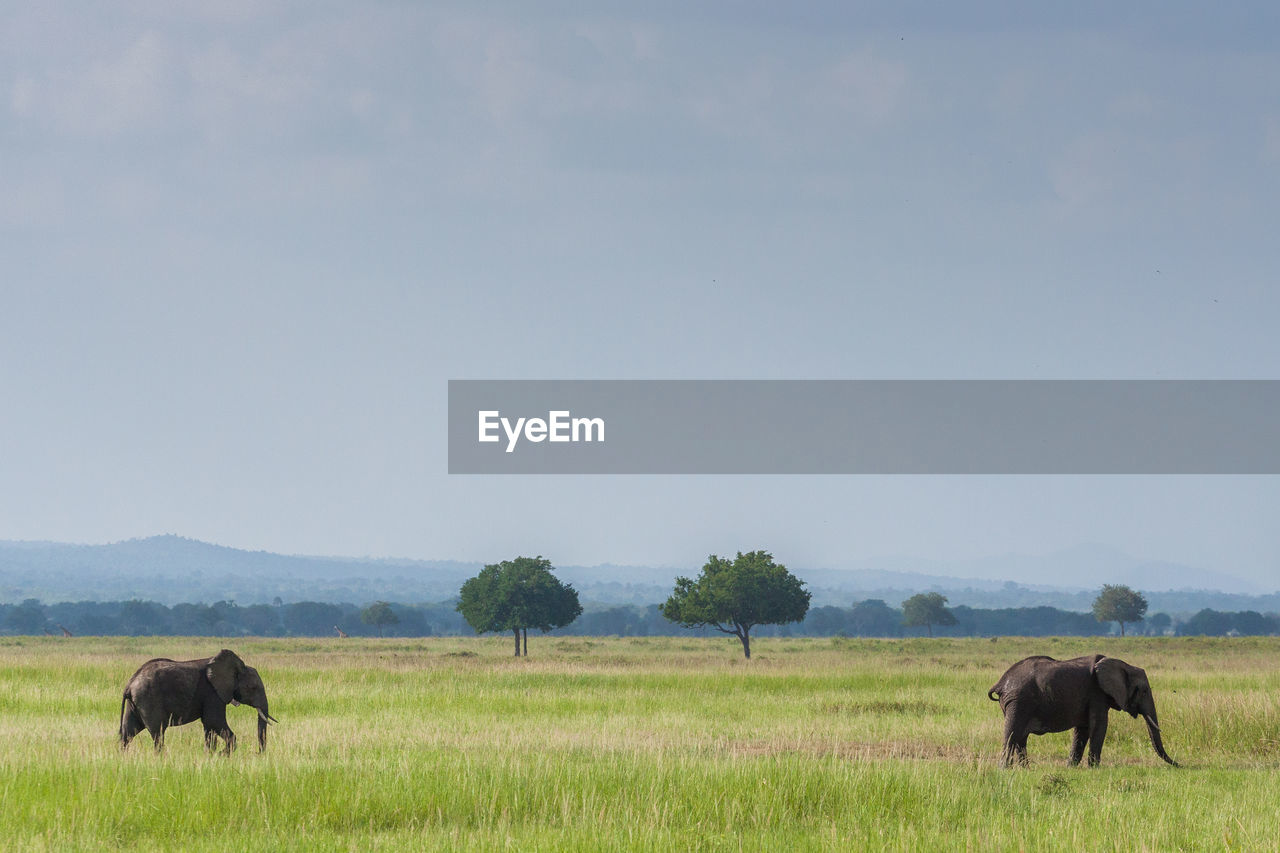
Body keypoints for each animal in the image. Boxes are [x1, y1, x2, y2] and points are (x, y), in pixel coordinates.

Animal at [120, 645, 275, 753]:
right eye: (253, 688)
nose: (258, 753)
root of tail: (130, 683)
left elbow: (209, 727)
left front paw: (211, 755)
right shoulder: (212, 692)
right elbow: (214, 721)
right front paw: (221, 754)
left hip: (135, 703)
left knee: (127, 732)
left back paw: (123, 758)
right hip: (148, 700)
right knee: (158, 733)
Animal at [988, 653, 1177, 768]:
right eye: (1144, 691)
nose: (1179, 765)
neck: (1123, 665)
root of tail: (1000, 682)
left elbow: (1083, 730)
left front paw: (1071, 767)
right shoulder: (1097, 693)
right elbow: (1099, 726)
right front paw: (1095, 768)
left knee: (1021, 738)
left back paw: (1025, 769)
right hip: (1019, 701)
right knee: (1013, 734)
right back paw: (1005, 769)